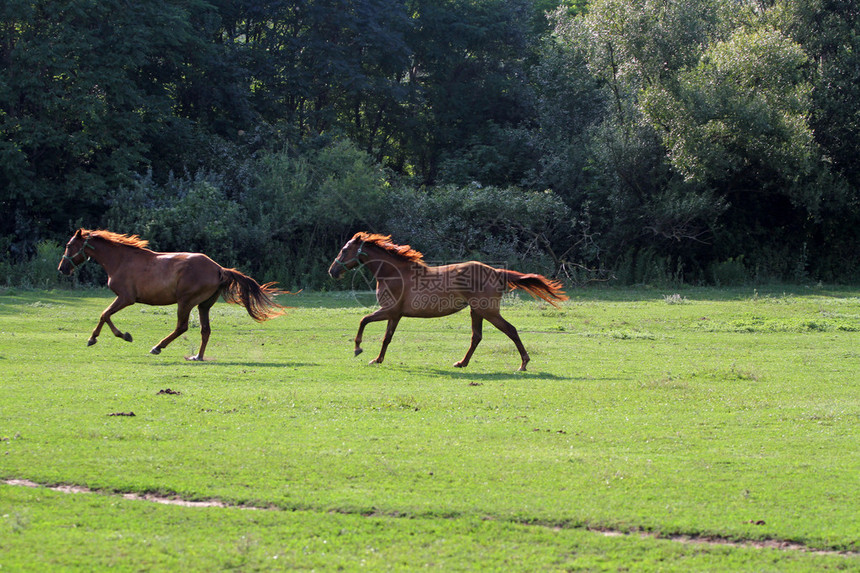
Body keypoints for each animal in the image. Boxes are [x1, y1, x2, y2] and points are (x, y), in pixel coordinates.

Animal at [58, 229, 286, 360]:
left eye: (69, 245)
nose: (62, 268)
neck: (121, 260)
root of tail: (219, 268)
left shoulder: (126, 298)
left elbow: (104, 314)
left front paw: (110, 337)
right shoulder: (124, 299)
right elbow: (105, 315)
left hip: (185, 302)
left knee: (182, 327)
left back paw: (157, 347)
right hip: (203, 306)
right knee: (205, 330)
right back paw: (197, 357)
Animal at [328, 232, 564, 370]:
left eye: (344, 250)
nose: (332, 271)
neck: (394, 273)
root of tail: (497, 272)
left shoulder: (389, 311)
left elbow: (364, 321)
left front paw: (358, 349)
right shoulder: (395, 315)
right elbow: (387, 338)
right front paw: (377, 359)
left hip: (488, 311)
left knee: (510, 330)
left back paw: (523, 364)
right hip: (476, 312)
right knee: (477, 337)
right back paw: (461, 363)